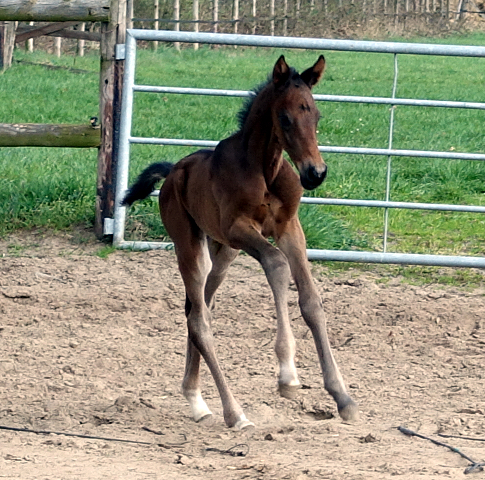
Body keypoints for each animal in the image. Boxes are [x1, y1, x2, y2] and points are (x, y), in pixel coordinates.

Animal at [123, 55, 358, 428]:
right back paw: (234, 413)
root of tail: (173, 171)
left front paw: (342, 397)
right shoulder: (239, 228)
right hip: (190, 243)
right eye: (285, 117)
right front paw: (287, 375)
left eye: (317, 115)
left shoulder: (289, 227)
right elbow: (276, 264)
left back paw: (197, 401)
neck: (266, 169)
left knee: (197, 307)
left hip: (222, 253)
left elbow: (311, 300)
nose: (315, 173)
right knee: (199, 320)